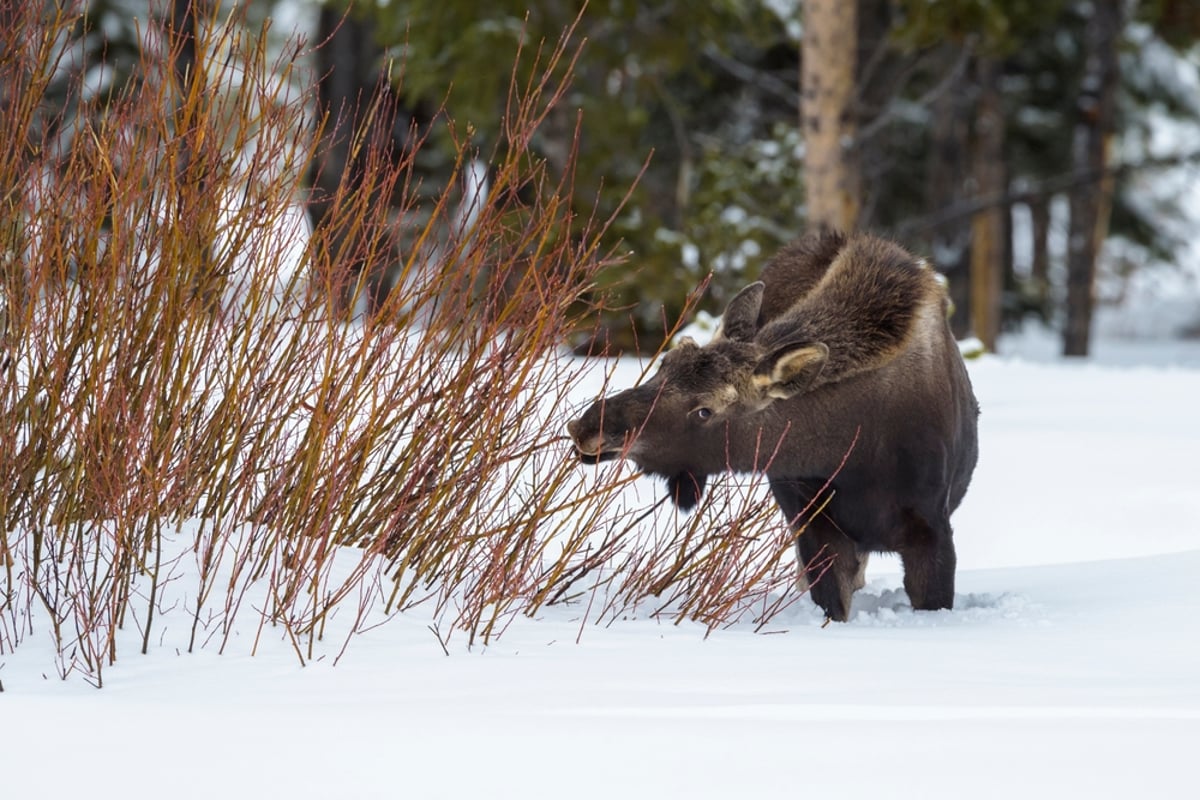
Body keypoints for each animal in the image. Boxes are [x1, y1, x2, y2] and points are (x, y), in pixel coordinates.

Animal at [568, 227, 974, 623]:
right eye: (664, 365)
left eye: (705, 411)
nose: (588, 426)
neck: (857, 453)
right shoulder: (816, 529)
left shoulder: (932, 530)